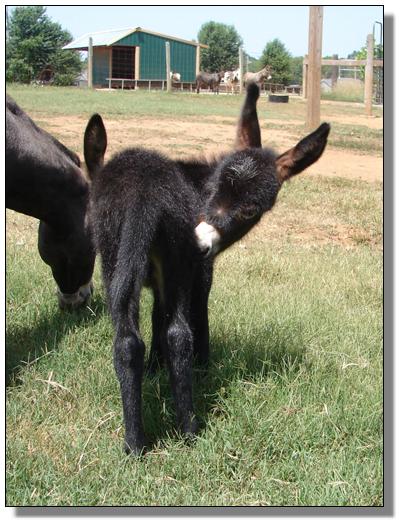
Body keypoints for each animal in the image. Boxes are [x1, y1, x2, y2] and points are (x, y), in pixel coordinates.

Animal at [84, 83, 330, 455]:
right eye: (213, 188)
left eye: (250, 210)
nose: (199, 243)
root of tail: (144, 193)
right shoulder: (197, 274)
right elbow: (194, 321)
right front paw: (202, 368)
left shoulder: (173, 274)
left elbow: (159, 322)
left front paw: (157, 369)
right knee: (174, 334)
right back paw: (183, 430)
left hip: (123, 256)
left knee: (136, 339)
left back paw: (142, 441)